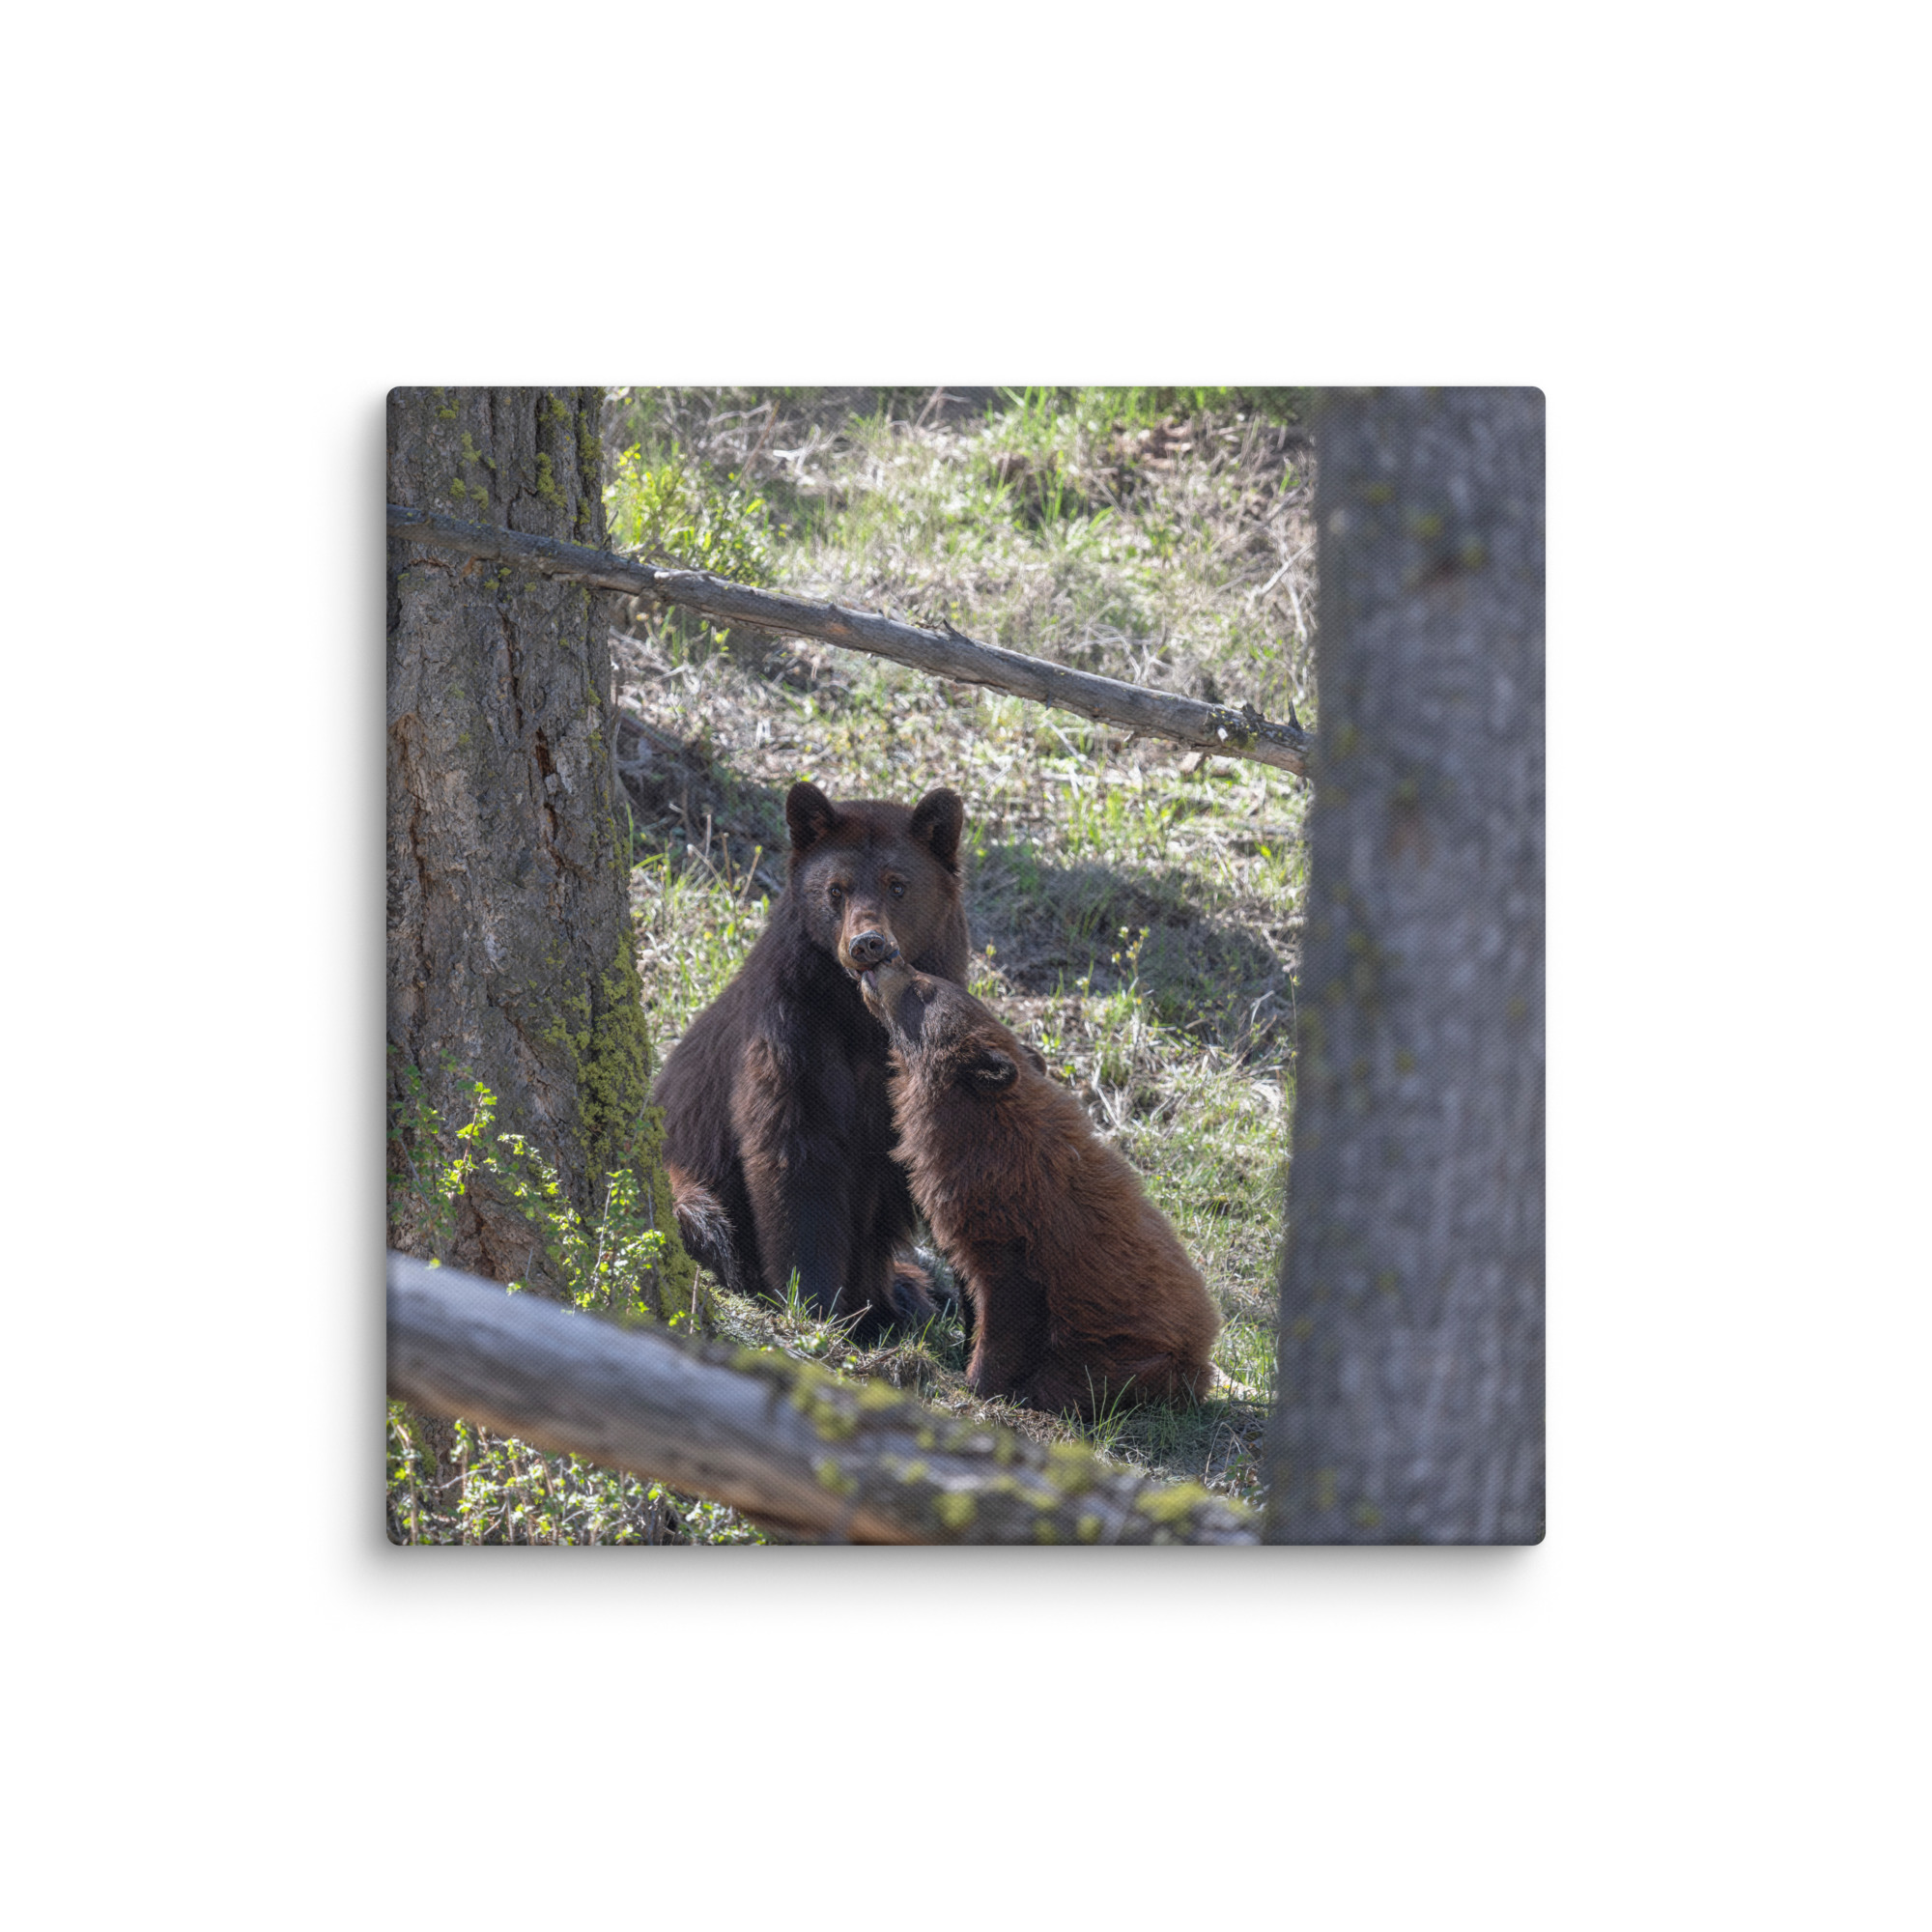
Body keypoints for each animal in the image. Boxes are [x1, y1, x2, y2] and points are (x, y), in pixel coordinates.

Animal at [654, 780, 970, 1343]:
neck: (862, 1019)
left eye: (898, 885)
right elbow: (795, 1157)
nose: (867, 944)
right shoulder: (790, 1034)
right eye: (836, 889)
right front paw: (815, 1304)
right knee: (703, 1218)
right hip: (684, 1181)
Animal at [858, 955, 1221, 1417]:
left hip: (1131, 1357)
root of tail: (1203, 1356)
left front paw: (977, 1382)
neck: (982, 1132)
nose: (890, 957)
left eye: (923, 988)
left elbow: (1007, 1310)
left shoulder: (1015, 1230)